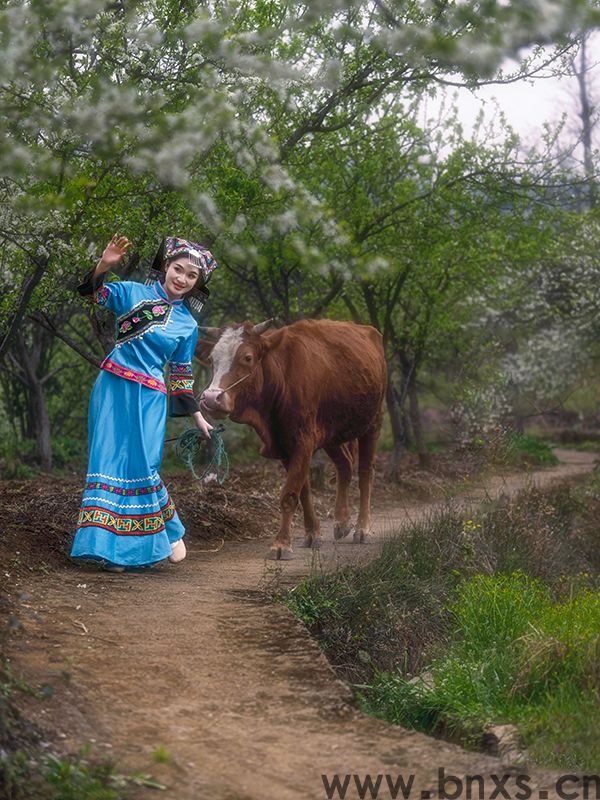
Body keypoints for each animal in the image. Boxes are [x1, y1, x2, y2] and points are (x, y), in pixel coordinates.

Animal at [197, 318, 384, 556]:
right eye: (212, 360)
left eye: (247, 358)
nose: (212, 399)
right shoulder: (284, 445)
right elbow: (303, 491)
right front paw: (312, 534)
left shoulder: (303, 441)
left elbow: (289, 495)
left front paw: (281, 543)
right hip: (333, 433)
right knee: (344, 466)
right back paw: (342, 522)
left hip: (372, 424)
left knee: (365, 473)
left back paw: (363, 528)